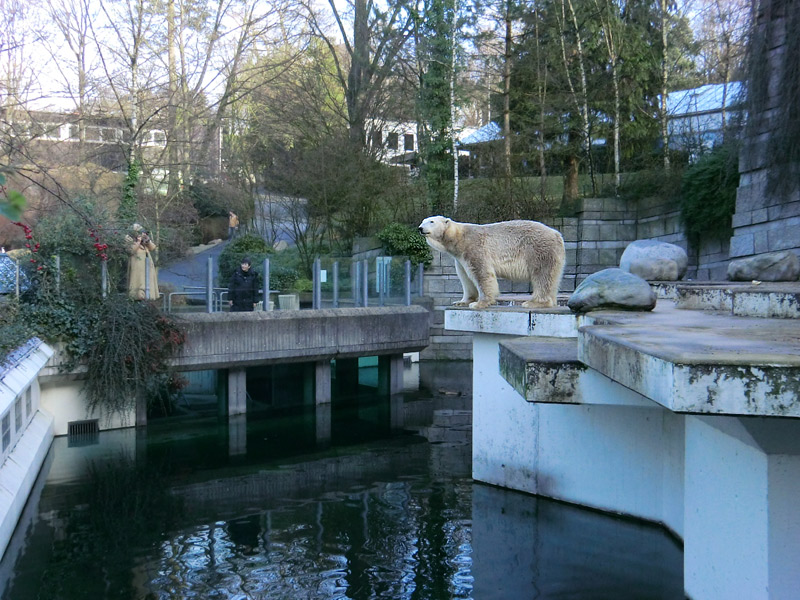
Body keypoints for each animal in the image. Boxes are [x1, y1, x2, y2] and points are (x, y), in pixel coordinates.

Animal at [416, 216, 564, 310]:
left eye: (431, 221)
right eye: (423, 221)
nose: (420, 228)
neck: (458, 238)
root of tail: (557, 234)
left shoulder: (473, 247)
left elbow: (481, 273)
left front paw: (479, 304)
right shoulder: (459, 258)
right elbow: (465, 277)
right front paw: (462, 302)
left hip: (539, 250)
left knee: (542, 275)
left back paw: (534, 303)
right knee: (552, 277)